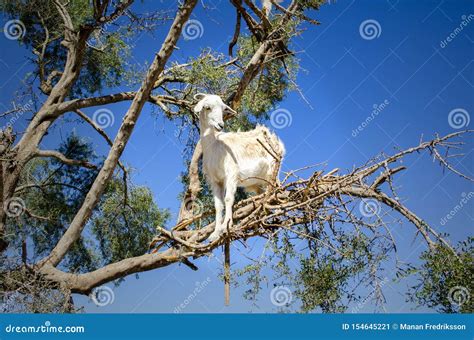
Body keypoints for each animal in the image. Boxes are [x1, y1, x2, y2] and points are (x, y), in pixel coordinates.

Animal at [193, 93, 286, 242]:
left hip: (273, 169)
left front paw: (225, 226)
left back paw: (277, 210)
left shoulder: (231, 174)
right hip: (257, 182)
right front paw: (214, 233)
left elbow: (228, 199)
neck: (214, 147)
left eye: (223, 109)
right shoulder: (215, 180)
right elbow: (218, 205)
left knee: (276, 188)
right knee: (264, 193)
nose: (220, 125)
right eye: (207, 107)